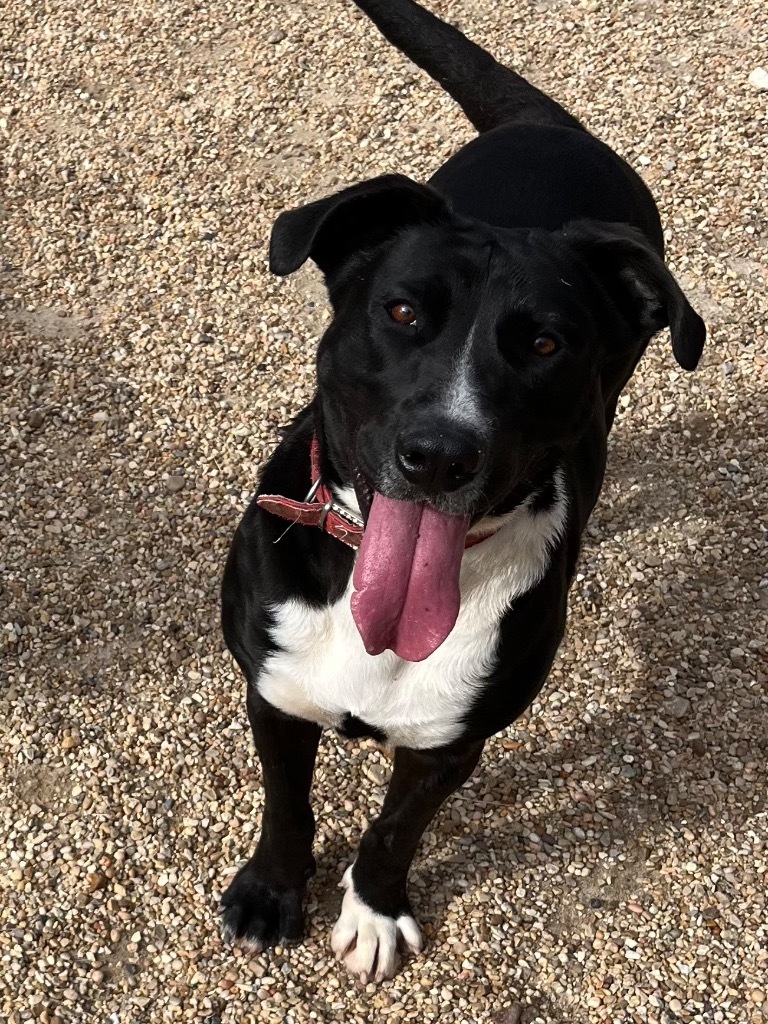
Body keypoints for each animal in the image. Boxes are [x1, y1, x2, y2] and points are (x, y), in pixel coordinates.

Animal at [219, 0, 708, 983]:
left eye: (547, 344)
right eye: (403, 311)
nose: (440, 455)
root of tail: (550, 124)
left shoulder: (453, 742)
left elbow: (395, 832)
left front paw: (373, 912)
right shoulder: (275, 690)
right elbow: (288, 808)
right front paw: (270, 892)